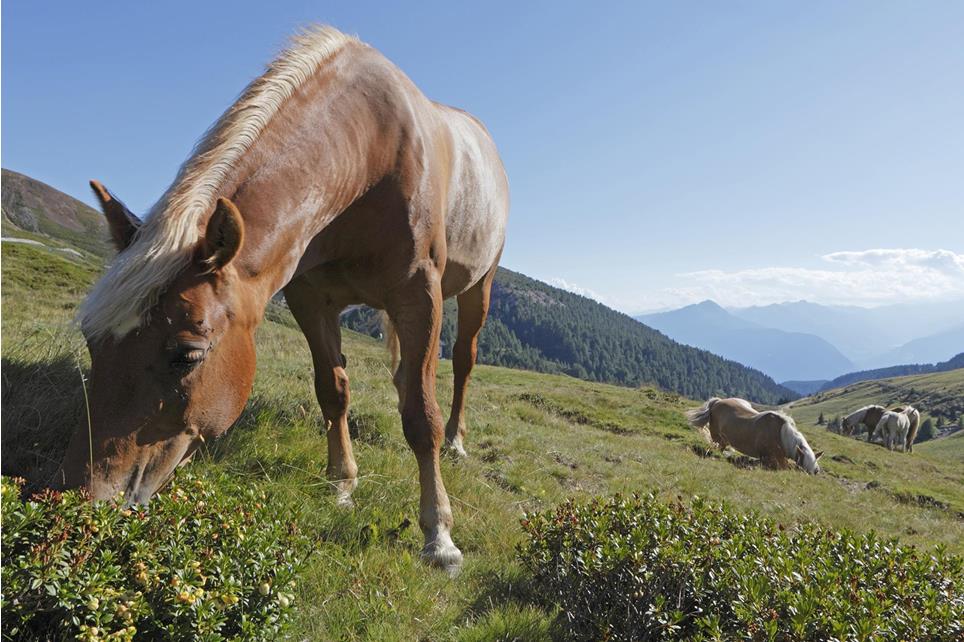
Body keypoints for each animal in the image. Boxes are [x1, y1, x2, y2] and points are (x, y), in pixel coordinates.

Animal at [55, 27, 512, 572]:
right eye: (92, 341)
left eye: (185, 355)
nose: (83, 499)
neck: (366, 156)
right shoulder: (310, 300)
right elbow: (333, 392)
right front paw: (341, 484)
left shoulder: (419, 295)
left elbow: (423, 418)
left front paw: (439, 535)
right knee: (404, 373)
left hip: (478, 288)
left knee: (462, 362)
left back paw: (459, 441)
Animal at [684, 396, 820, 470]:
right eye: (802, 466)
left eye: (815, 470)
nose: (815, 472)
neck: (781, 435)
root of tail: (717, 402)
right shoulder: (770, 458)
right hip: (717, 437)